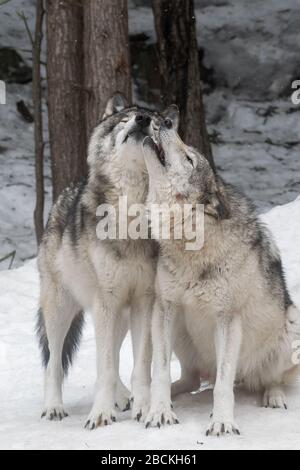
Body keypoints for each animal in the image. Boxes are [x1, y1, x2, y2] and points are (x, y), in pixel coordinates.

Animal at [37, 93, 172, 428]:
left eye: (154, 123)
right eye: (125, 119)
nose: (141, 120)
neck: (130, 212)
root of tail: (63, 195)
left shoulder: (143, 301)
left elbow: (139, 365)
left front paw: (142, 407)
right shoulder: (107, 301)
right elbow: (104, 366)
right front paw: (100, 413)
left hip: (117, 315)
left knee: (112, 353)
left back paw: (123, 397)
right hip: (61, 310)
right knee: (54, 362)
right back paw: (53, 407)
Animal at [142, 111, 300, 436]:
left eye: (189, 159)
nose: (165, 120)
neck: (191, 246)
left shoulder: (228, 318)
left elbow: (223, 386)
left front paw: (222, 423)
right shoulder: (165, 307)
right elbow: (160, 371)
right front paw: (159, 413)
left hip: (291, 325)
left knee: (265, 378)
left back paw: (273, 396)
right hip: (180, 331)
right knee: (191, 379)